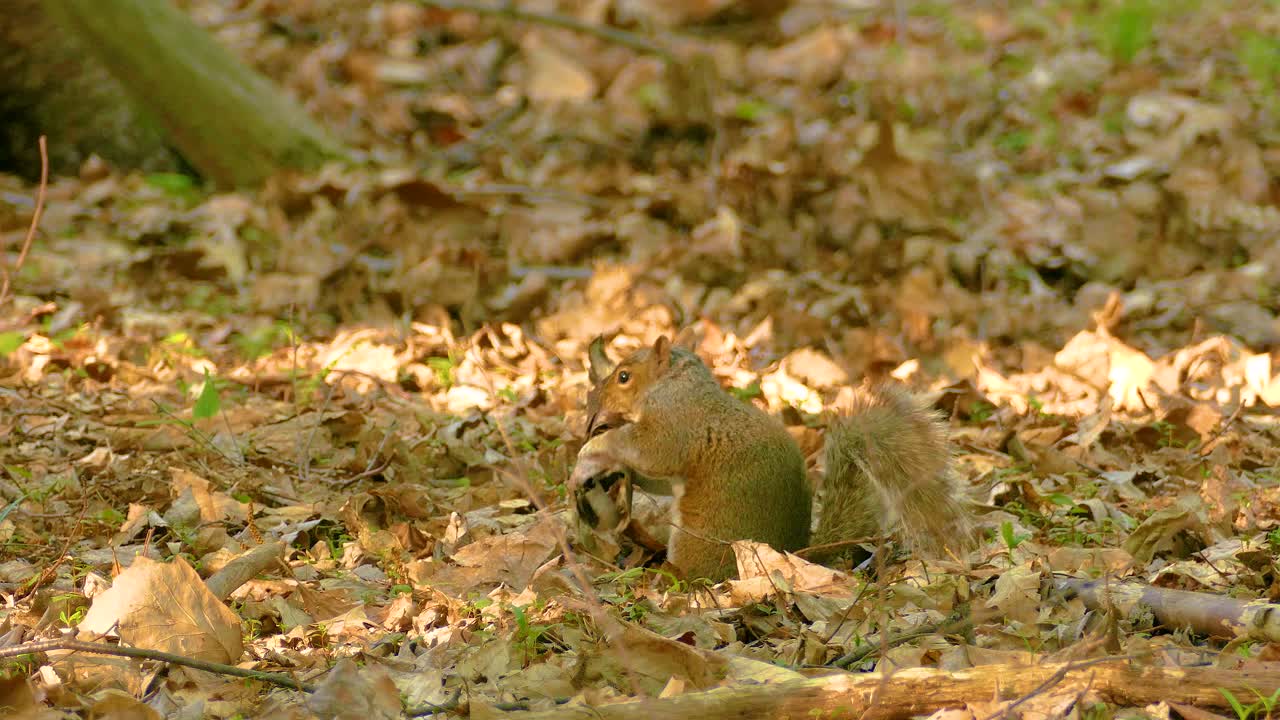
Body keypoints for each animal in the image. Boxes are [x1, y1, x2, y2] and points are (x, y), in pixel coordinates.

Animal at [569, 335, 970, 581]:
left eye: (623, 377)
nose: (595, 404)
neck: (674, 386)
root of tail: (794, 554)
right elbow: (656, 477)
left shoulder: (676, 427)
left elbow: (648, 449)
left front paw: (592, 451)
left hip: (700, 542)